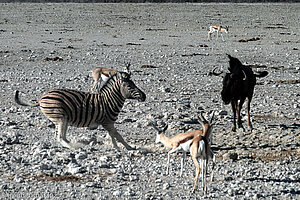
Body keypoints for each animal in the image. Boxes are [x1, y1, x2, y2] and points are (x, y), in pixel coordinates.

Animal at [15, 72, 146, 150]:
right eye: (130, 86)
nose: (144, 96)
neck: (109, 100)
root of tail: (42, 98)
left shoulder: (109, 123)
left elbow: (113, 136)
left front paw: (117, 147)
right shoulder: (107, 122)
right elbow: (118, 136)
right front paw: (128, 147)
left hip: (63, 119)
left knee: (61, 136)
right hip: (61, 117)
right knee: (60, 137)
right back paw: (75, 146)